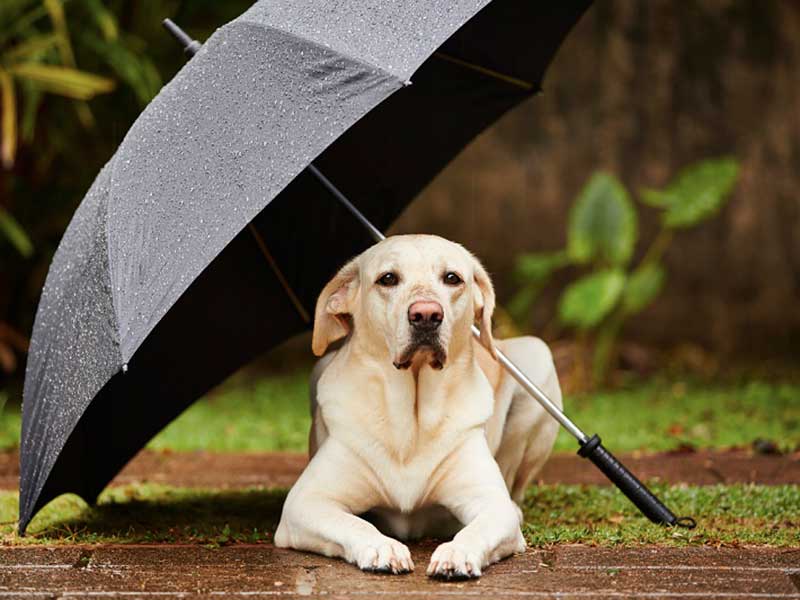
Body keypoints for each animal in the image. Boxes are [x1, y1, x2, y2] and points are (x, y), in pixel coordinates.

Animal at [276, 233, 564, 576]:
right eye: (388, 278)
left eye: (452, 278)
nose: (426, 314)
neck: (411, 419)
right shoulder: (305, 502)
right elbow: (355, 523)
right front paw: (382, 547)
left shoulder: (492, 502)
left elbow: (480, 526)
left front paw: (457, 552)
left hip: (539, 357)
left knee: (514, 493)